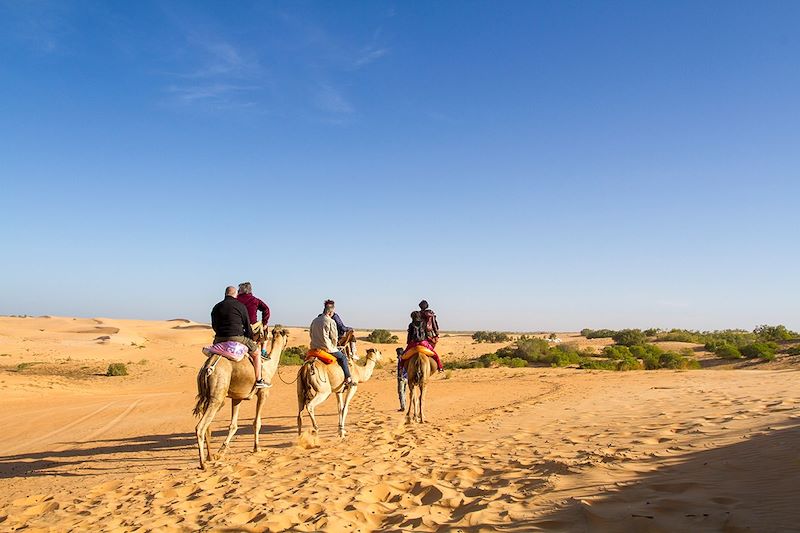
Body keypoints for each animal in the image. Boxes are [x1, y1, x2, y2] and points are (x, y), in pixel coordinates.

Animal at [192, 326, 290, 468]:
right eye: (287, 334)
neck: (268, 365)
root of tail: (208, 367)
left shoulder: (237, 398)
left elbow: (233, 425)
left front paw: (222, 450)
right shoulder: (263, 393)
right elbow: (257, 422)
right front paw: (257, 448)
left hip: (207, 396)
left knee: (208, 427)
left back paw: (210, 457)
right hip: (218, 394)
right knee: (200, 427)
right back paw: (202, 463)